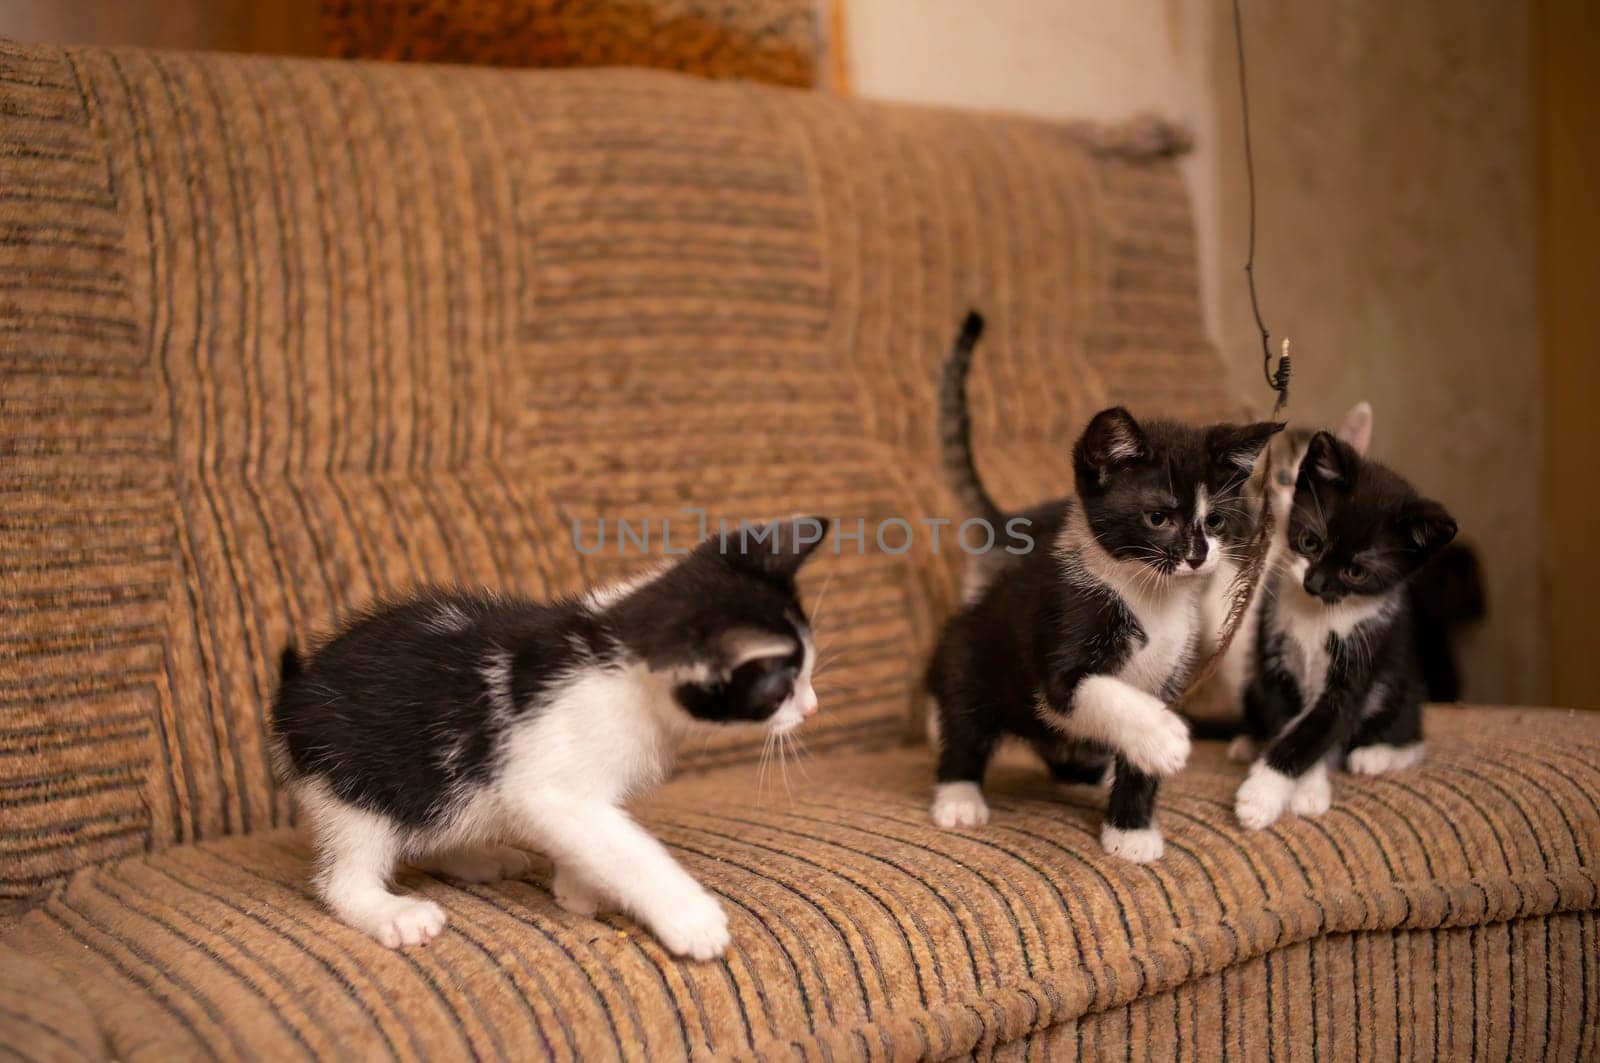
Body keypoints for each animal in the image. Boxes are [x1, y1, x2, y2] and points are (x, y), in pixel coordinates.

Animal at [265, 518, 825, 960]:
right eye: (783, 688)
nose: (813, 707)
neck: (621, 662)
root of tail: (294, 694)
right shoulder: (547, 781)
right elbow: (624, 847)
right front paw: (689, 917)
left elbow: (592, 839)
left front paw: (578, 888)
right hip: (358, 781)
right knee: (346, 874)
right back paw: (391, 913)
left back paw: (476, 857)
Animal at [928, 312, 1273, 858]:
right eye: (1158, 518)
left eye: (1215, 521)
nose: (1198, 556)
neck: (1149, 595)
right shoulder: (1061, 644)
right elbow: (1102, 692)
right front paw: (1162, 737)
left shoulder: (1170, 671)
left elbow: (1137, 757)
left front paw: (1131, 830)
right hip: (969, 659)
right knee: (964, 725)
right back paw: (959, 796)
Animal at [1235, 432, 1465, 832]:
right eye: (1310, 542)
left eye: (1356, 572)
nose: (1313, 583)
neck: (1318, 615)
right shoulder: (1274, 655)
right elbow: (1289, 725)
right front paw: (1294, 787)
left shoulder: (1364, 652)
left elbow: (1316, 730)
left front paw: (1262, 796)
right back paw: (1248, 743)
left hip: (1399, 684)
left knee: (1411, 732)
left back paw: (1376, 756)